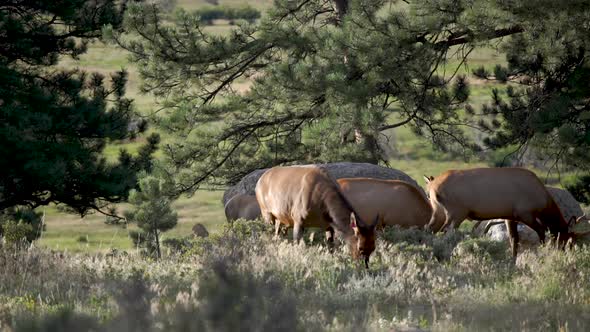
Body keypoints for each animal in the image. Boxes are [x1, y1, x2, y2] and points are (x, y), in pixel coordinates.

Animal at [426, 169, 588, 256]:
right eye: (566, 238)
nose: (563, 252)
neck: (543, 202)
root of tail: (432, 186)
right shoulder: (524, 213)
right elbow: (541, 231)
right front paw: (544, 251)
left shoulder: (510, 217)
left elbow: (513, 240)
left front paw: (513, 260)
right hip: (456, 213)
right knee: (445, 233)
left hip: (438, 212)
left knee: (429, 230)